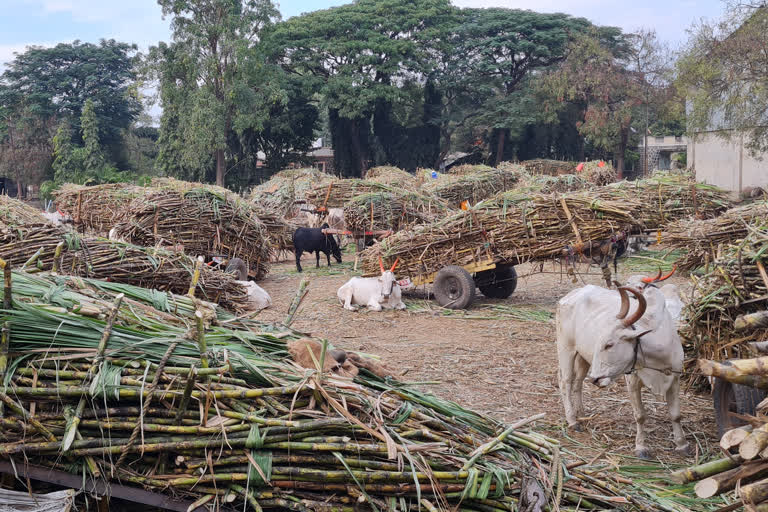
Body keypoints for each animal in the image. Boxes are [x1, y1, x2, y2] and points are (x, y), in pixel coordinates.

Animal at [556, 282, 688, 458]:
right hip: (566, 349)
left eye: (609, 344)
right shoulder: (632, 381)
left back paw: (582, 414)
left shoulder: (674, 379)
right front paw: (641, 447)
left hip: (583, 357)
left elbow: (676, 415)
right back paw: (572, 420)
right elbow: (640, 415)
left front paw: (682, 444)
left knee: (578, 382)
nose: (595, 379)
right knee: (566, 382)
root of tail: (571, 295)